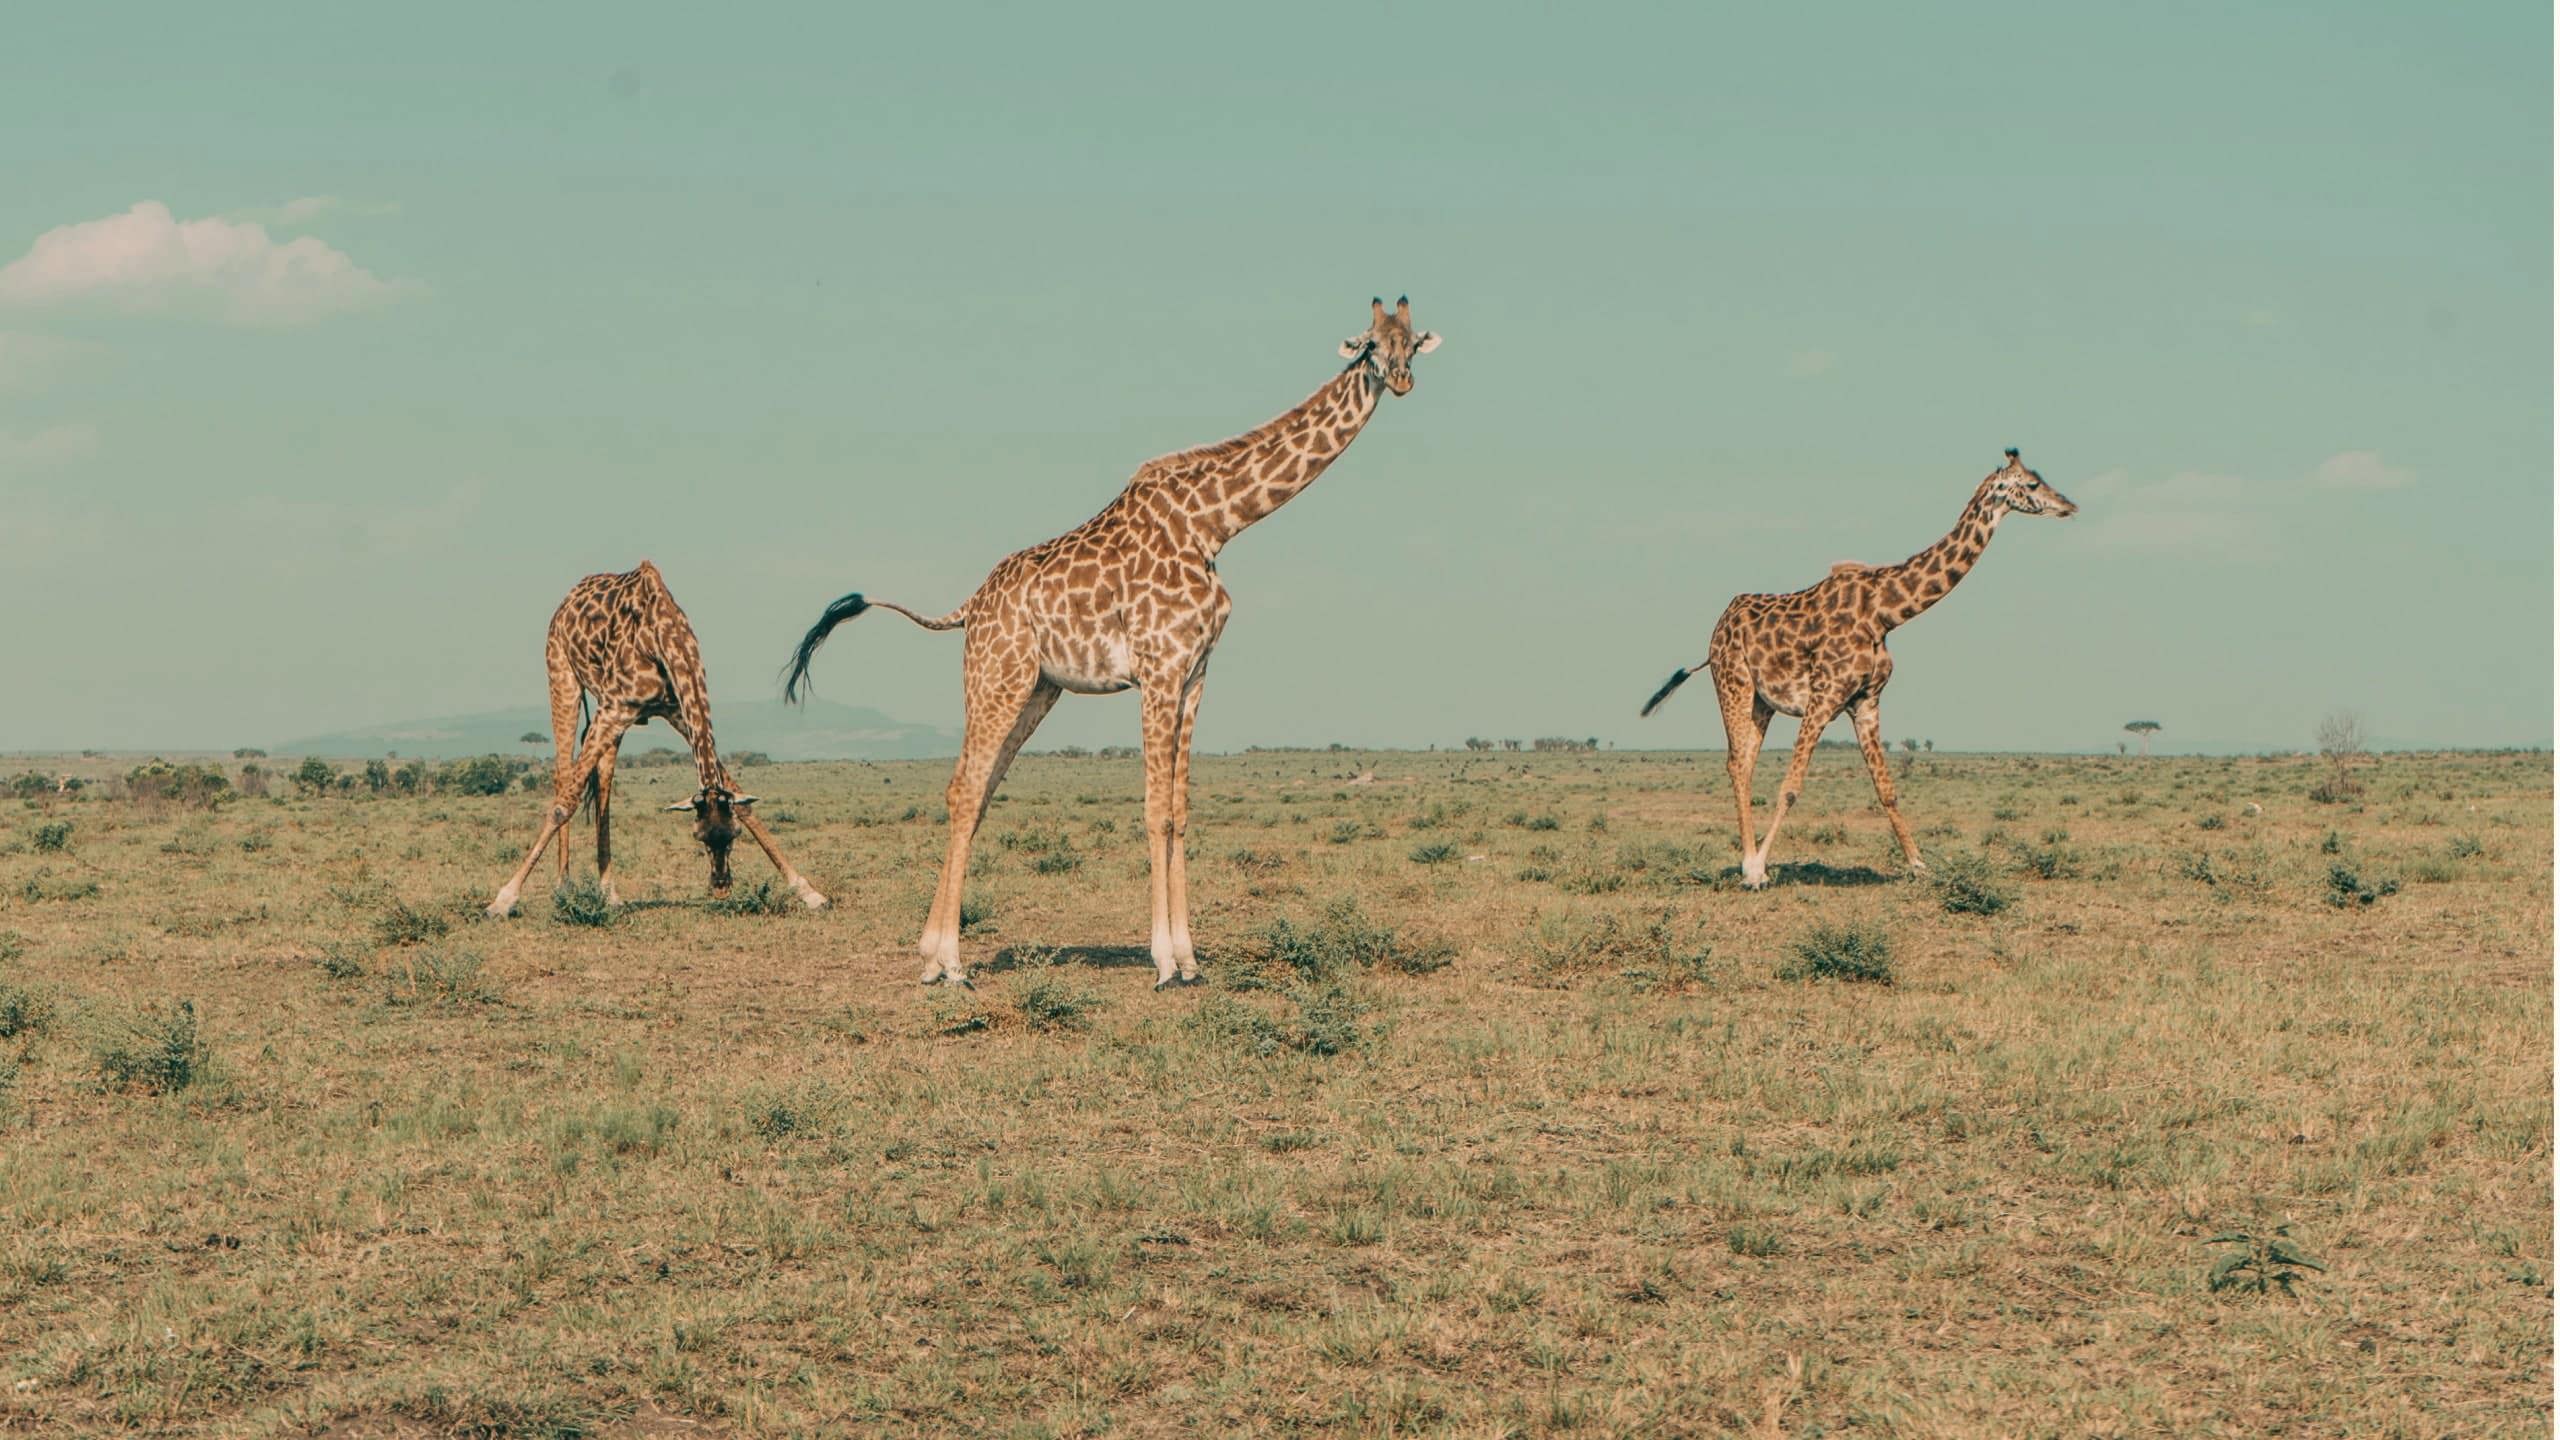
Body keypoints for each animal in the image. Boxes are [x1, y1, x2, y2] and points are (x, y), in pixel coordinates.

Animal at [485, 561, 828, 919]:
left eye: (732, 834)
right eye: (698, 837)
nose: (721, 887)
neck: (665, 637)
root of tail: (569, 598)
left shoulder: (674, 710)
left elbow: (743, 802)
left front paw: (809, 892)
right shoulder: (615, 708)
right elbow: (564, 803)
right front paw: (503, 899)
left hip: (608, 713)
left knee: (603, 781)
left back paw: (609, 892)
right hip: (562, 674)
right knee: (563, 775)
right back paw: (563, 886)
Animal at [782, 297, 1441, 988]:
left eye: (1411, 342)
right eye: (1369, 344)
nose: (1401, 379)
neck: (1216, 524)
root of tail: (970, 607)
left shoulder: (1195, 674)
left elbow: (1180, 810)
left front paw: (1191, 958)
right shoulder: (1159, 668)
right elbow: (1155, 810)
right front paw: (1165, 962)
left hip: (1038, 690)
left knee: (979, 792)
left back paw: (934, 958)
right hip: (996, 677)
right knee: (963, 789)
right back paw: (950, 962)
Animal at [1639, 449, 2076, 888]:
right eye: (2033, 483)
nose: (2069, 506)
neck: (1885, 612)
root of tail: (1718, 626)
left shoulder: (1866, 701)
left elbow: (1887, 789)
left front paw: (1920, 866)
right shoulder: (1823, 696)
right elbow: (1791, 787)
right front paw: (1760, 868)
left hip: (1762, 701)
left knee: (1744, 764)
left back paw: (1747, 860)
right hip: (1734, 683)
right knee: (1735, 764)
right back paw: (1750, 868)